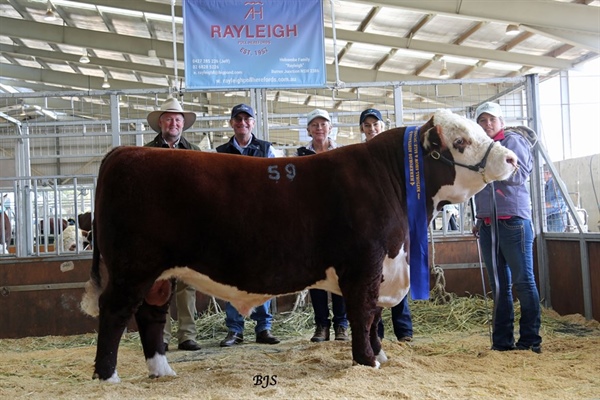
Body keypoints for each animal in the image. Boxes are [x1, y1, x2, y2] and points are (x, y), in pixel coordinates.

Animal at [82, 108, 516, 382]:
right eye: (460, 141)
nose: (511, 158)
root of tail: (125, 151)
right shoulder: (364, 263)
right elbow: (363, 312)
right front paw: (366, 361)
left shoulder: (381, 267)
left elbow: (374, 314)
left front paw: (380, 354)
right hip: (133, 267)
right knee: (115, 311)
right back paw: (107, 376)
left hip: (159, 275)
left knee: (150, 316)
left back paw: (162, 370)